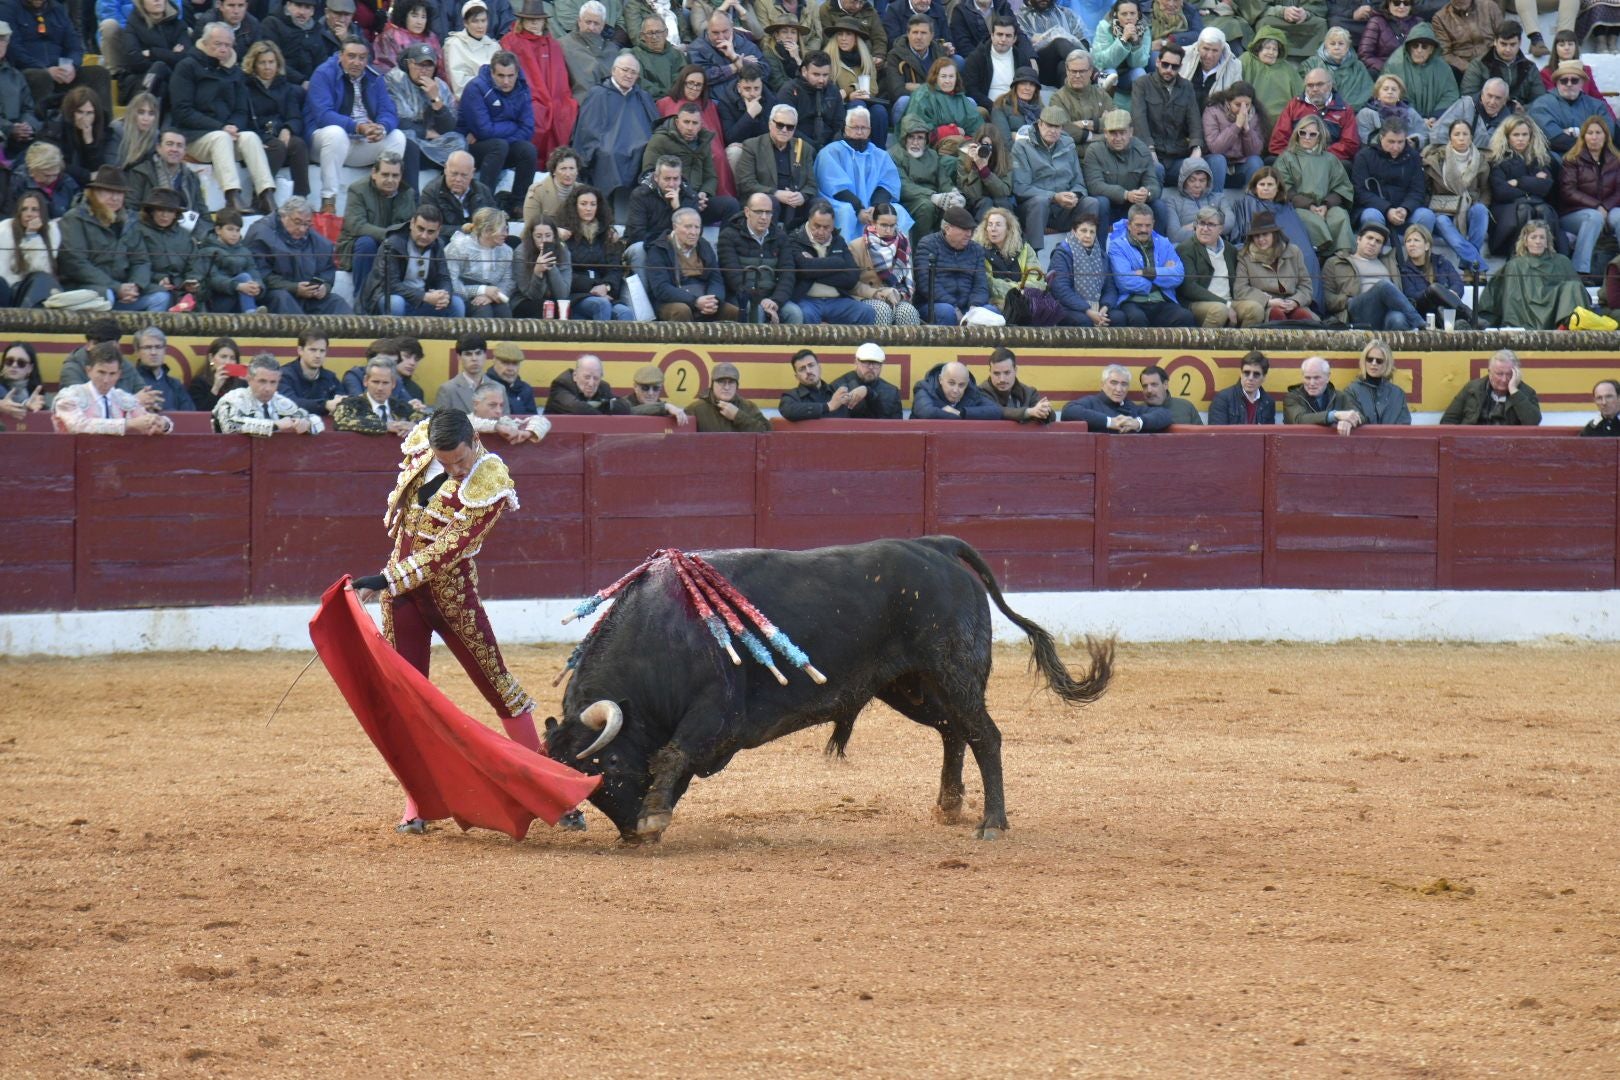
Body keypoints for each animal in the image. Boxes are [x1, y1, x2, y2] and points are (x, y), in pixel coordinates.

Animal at [544, 537, 1114, 841]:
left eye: (608, 767)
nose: (629, 836)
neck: (660, 633)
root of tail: (935, 546)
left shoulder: (714, 711)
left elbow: (673, 752)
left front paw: (653, 813)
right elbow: (675, 758)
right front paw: (654, 816)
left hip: (954, 671)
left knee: (985, 736)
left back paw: (992, 823)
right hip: (912, 686)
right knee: (954, 732)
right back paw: (948, 806)